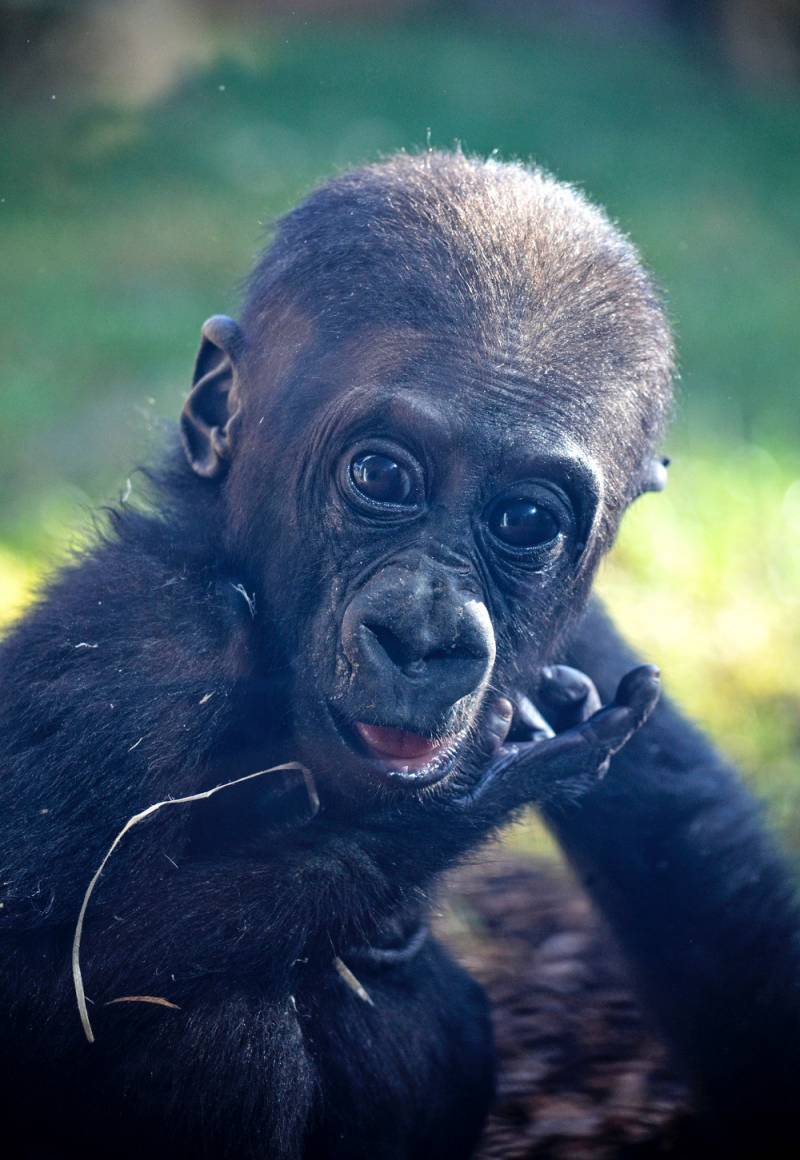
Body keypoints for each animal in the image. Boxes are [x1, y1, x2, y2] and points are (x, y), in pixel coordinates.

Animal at [1, 154, 797, 1160]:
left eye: (524, 520)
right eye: (381, 475)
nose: (423, 634)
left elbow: (691, 851)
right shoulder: (144, 652)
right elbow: (51, 978)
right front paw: (470, 803)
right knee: (206, 1025)